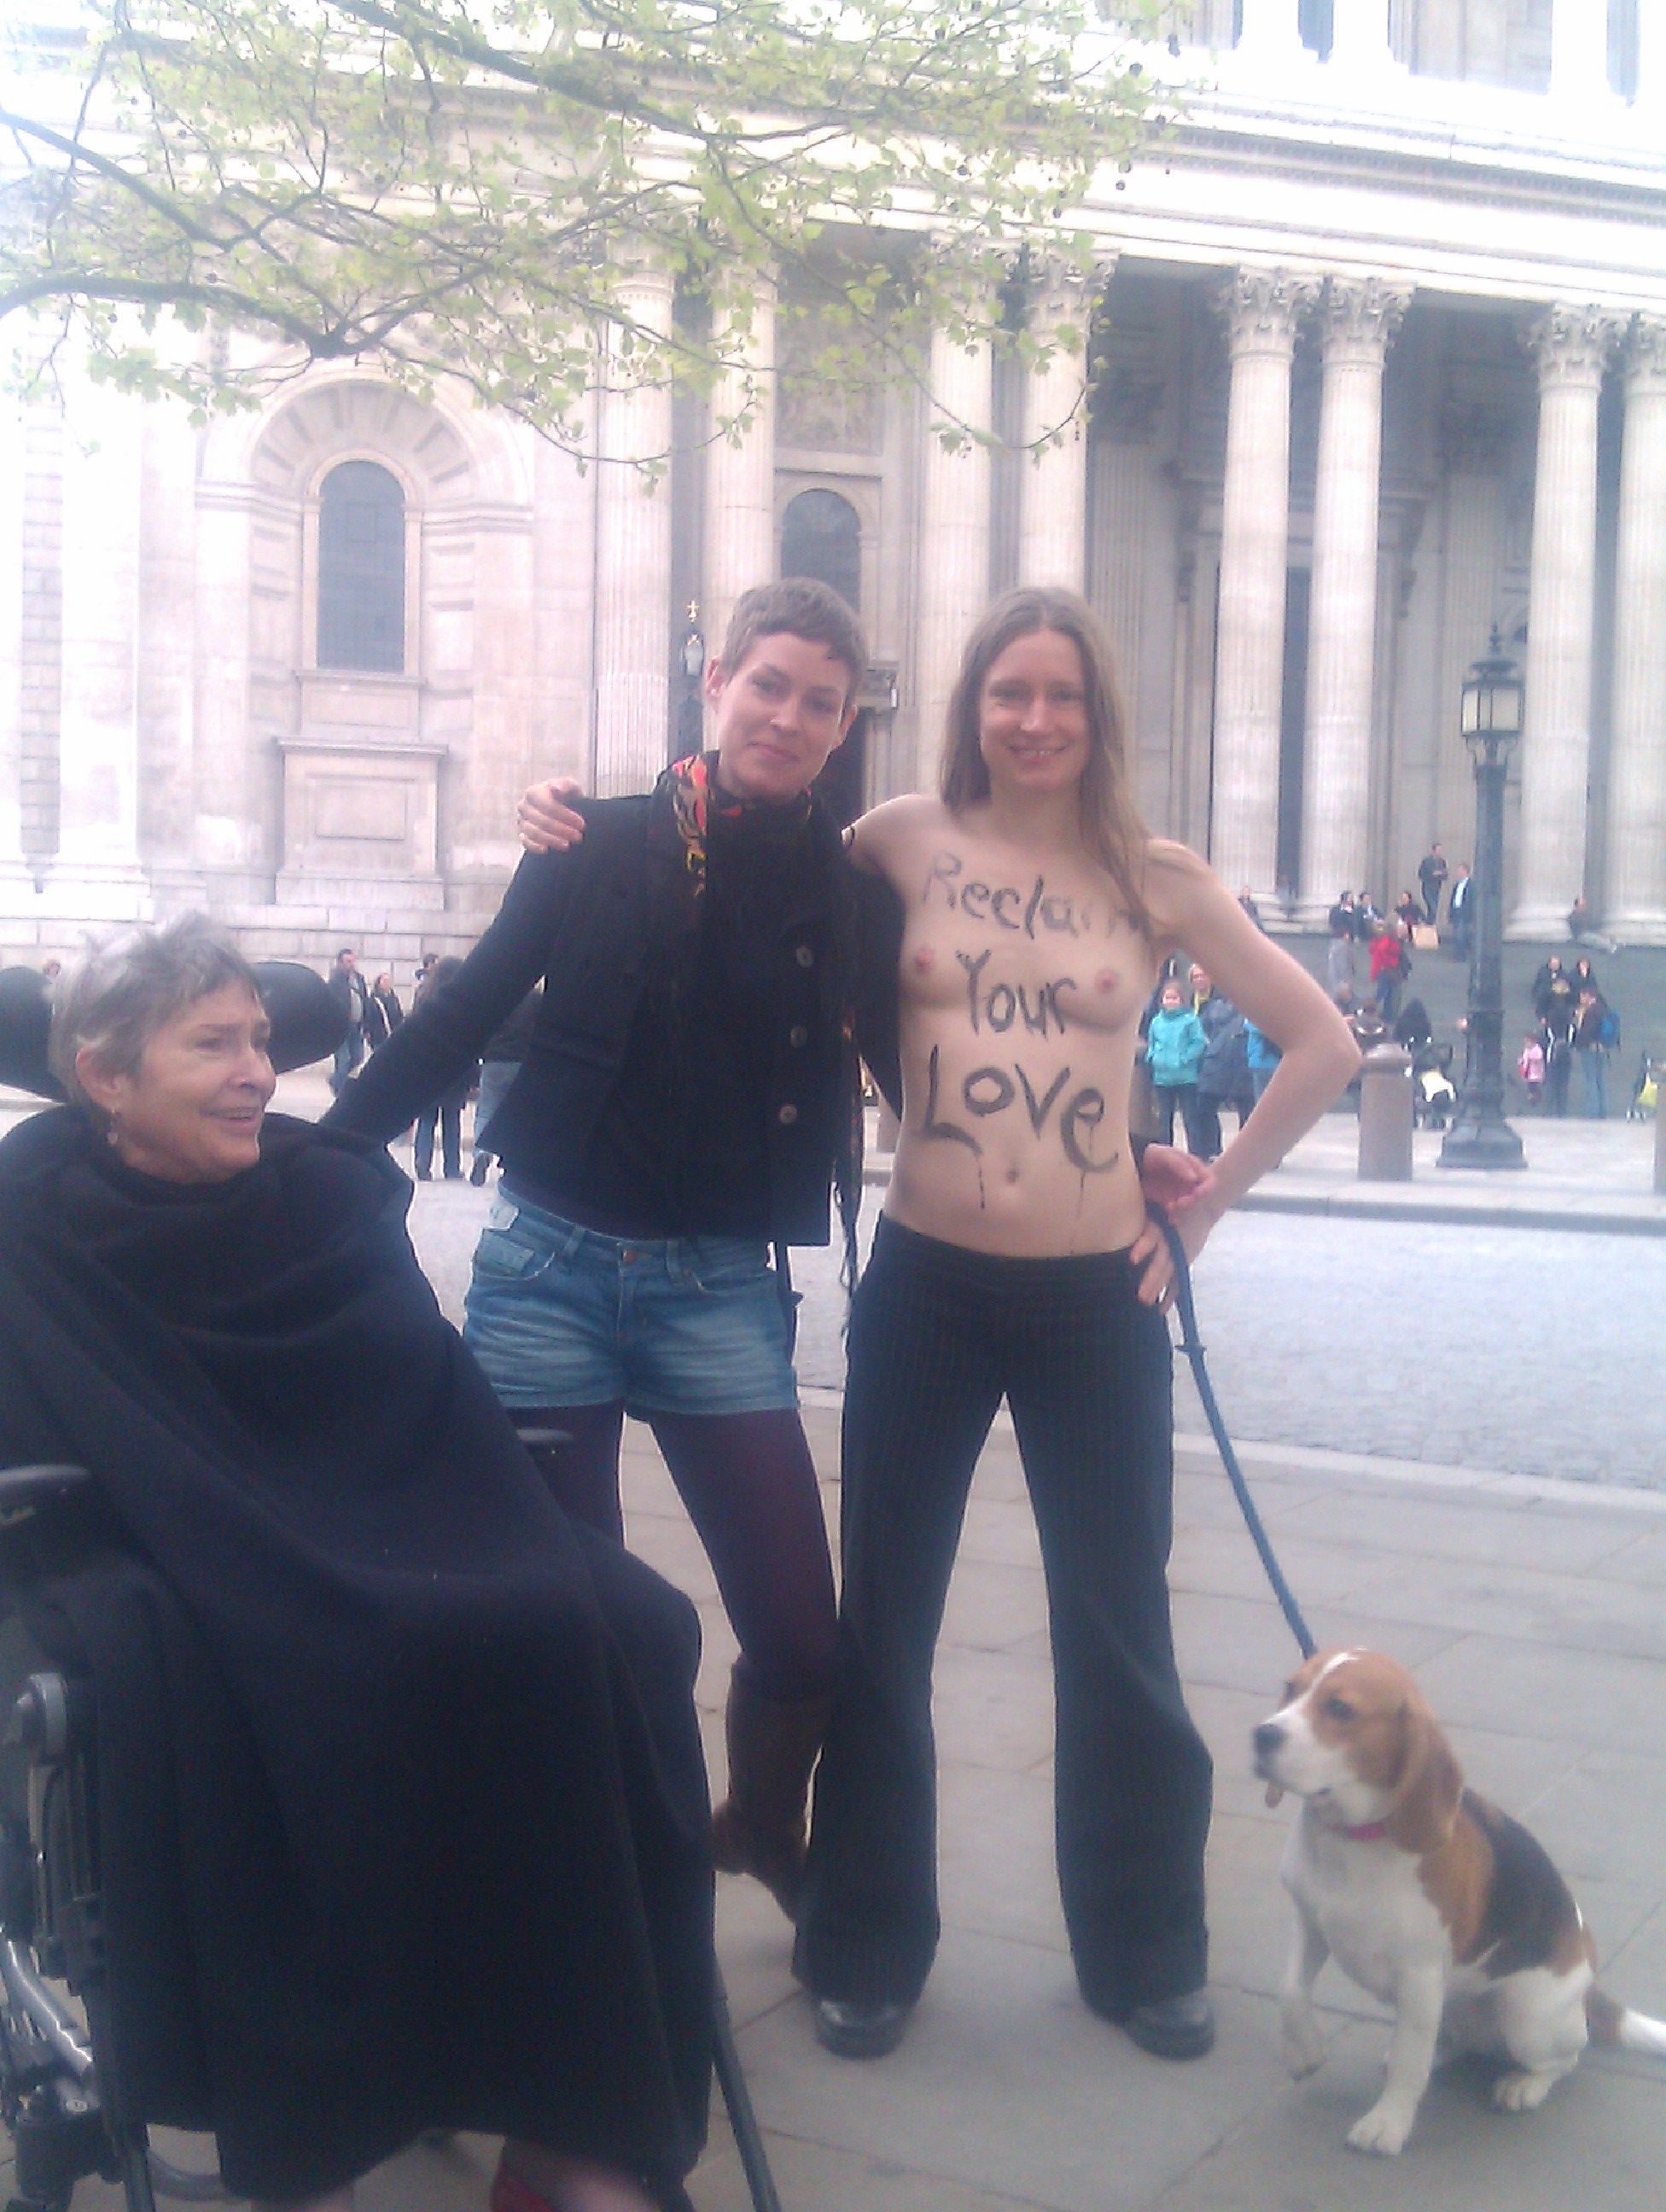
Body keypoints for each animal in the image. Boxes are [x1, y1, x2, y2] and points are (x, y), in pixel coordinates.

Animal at [1253, 1647, 1666, 2155]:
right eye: (1290, 1688)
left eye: (1340, 1709)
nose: (1262, 1734)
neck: (1353, 1838)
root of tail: (1589, 1987)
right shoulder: (1311, 1924)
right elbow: (1290, 1991)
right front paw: (1306, 2051)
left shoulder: (1420, 1973)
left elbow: (1410, 2063)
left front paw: (1388, 2123)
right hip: (1448, 2004)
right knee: (1447, 2041)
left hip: (1526, 2017)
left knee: (1567, 2056)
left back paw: (1524, 2085)